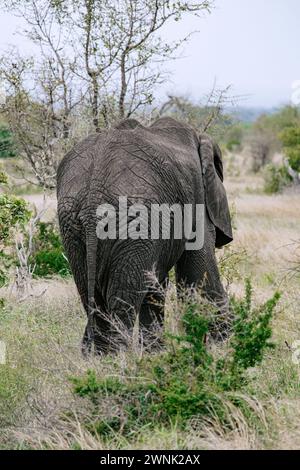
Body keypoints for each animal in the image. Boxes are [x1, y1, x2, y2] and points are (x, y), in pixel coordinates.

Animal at [57, 116, 233, 352]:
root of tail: (95, 189)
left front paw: (156, 354)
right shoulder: (195, 198)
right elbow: (198, 275)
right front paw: (225, 346)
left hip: (74, 227)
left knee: (93, 297)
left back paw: (97, 357)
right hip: (136, 223)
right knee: (123, 299)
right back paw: (120, 359)